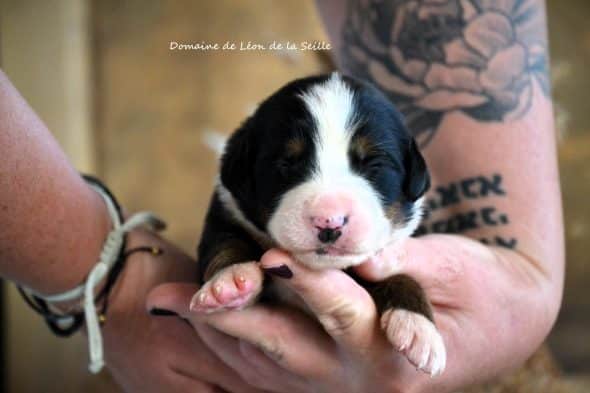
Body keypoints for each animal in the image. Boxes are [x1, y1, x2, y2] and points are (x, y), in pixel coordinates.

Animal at [192, 72, 446, 376]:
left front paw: (419, 327)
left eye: (373, 164)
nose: (330, 221)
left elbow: (400, 275)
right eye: (287, 163)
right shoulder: (226, 211)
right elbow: (225, 242)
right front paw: (230, 280)